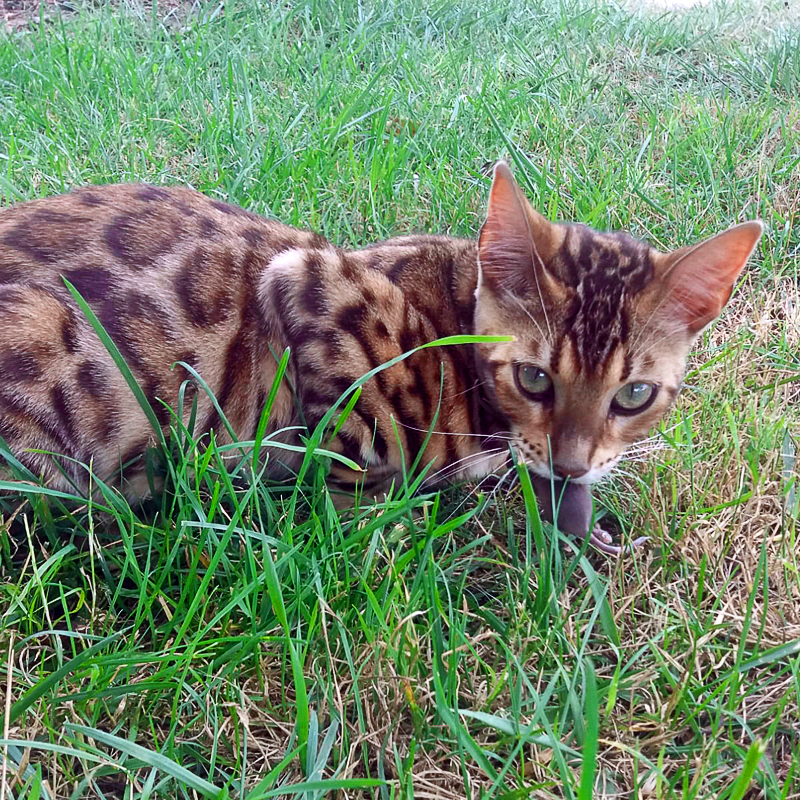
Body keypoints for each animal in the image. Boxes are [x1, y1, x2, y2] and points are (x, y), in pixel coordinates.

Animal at [0, 160, 764, 552]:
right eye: (534, 378)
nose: (572, 467)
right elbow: (346, 479)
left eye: (634, 396)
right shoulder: (309, 281)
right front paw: (384, 514)